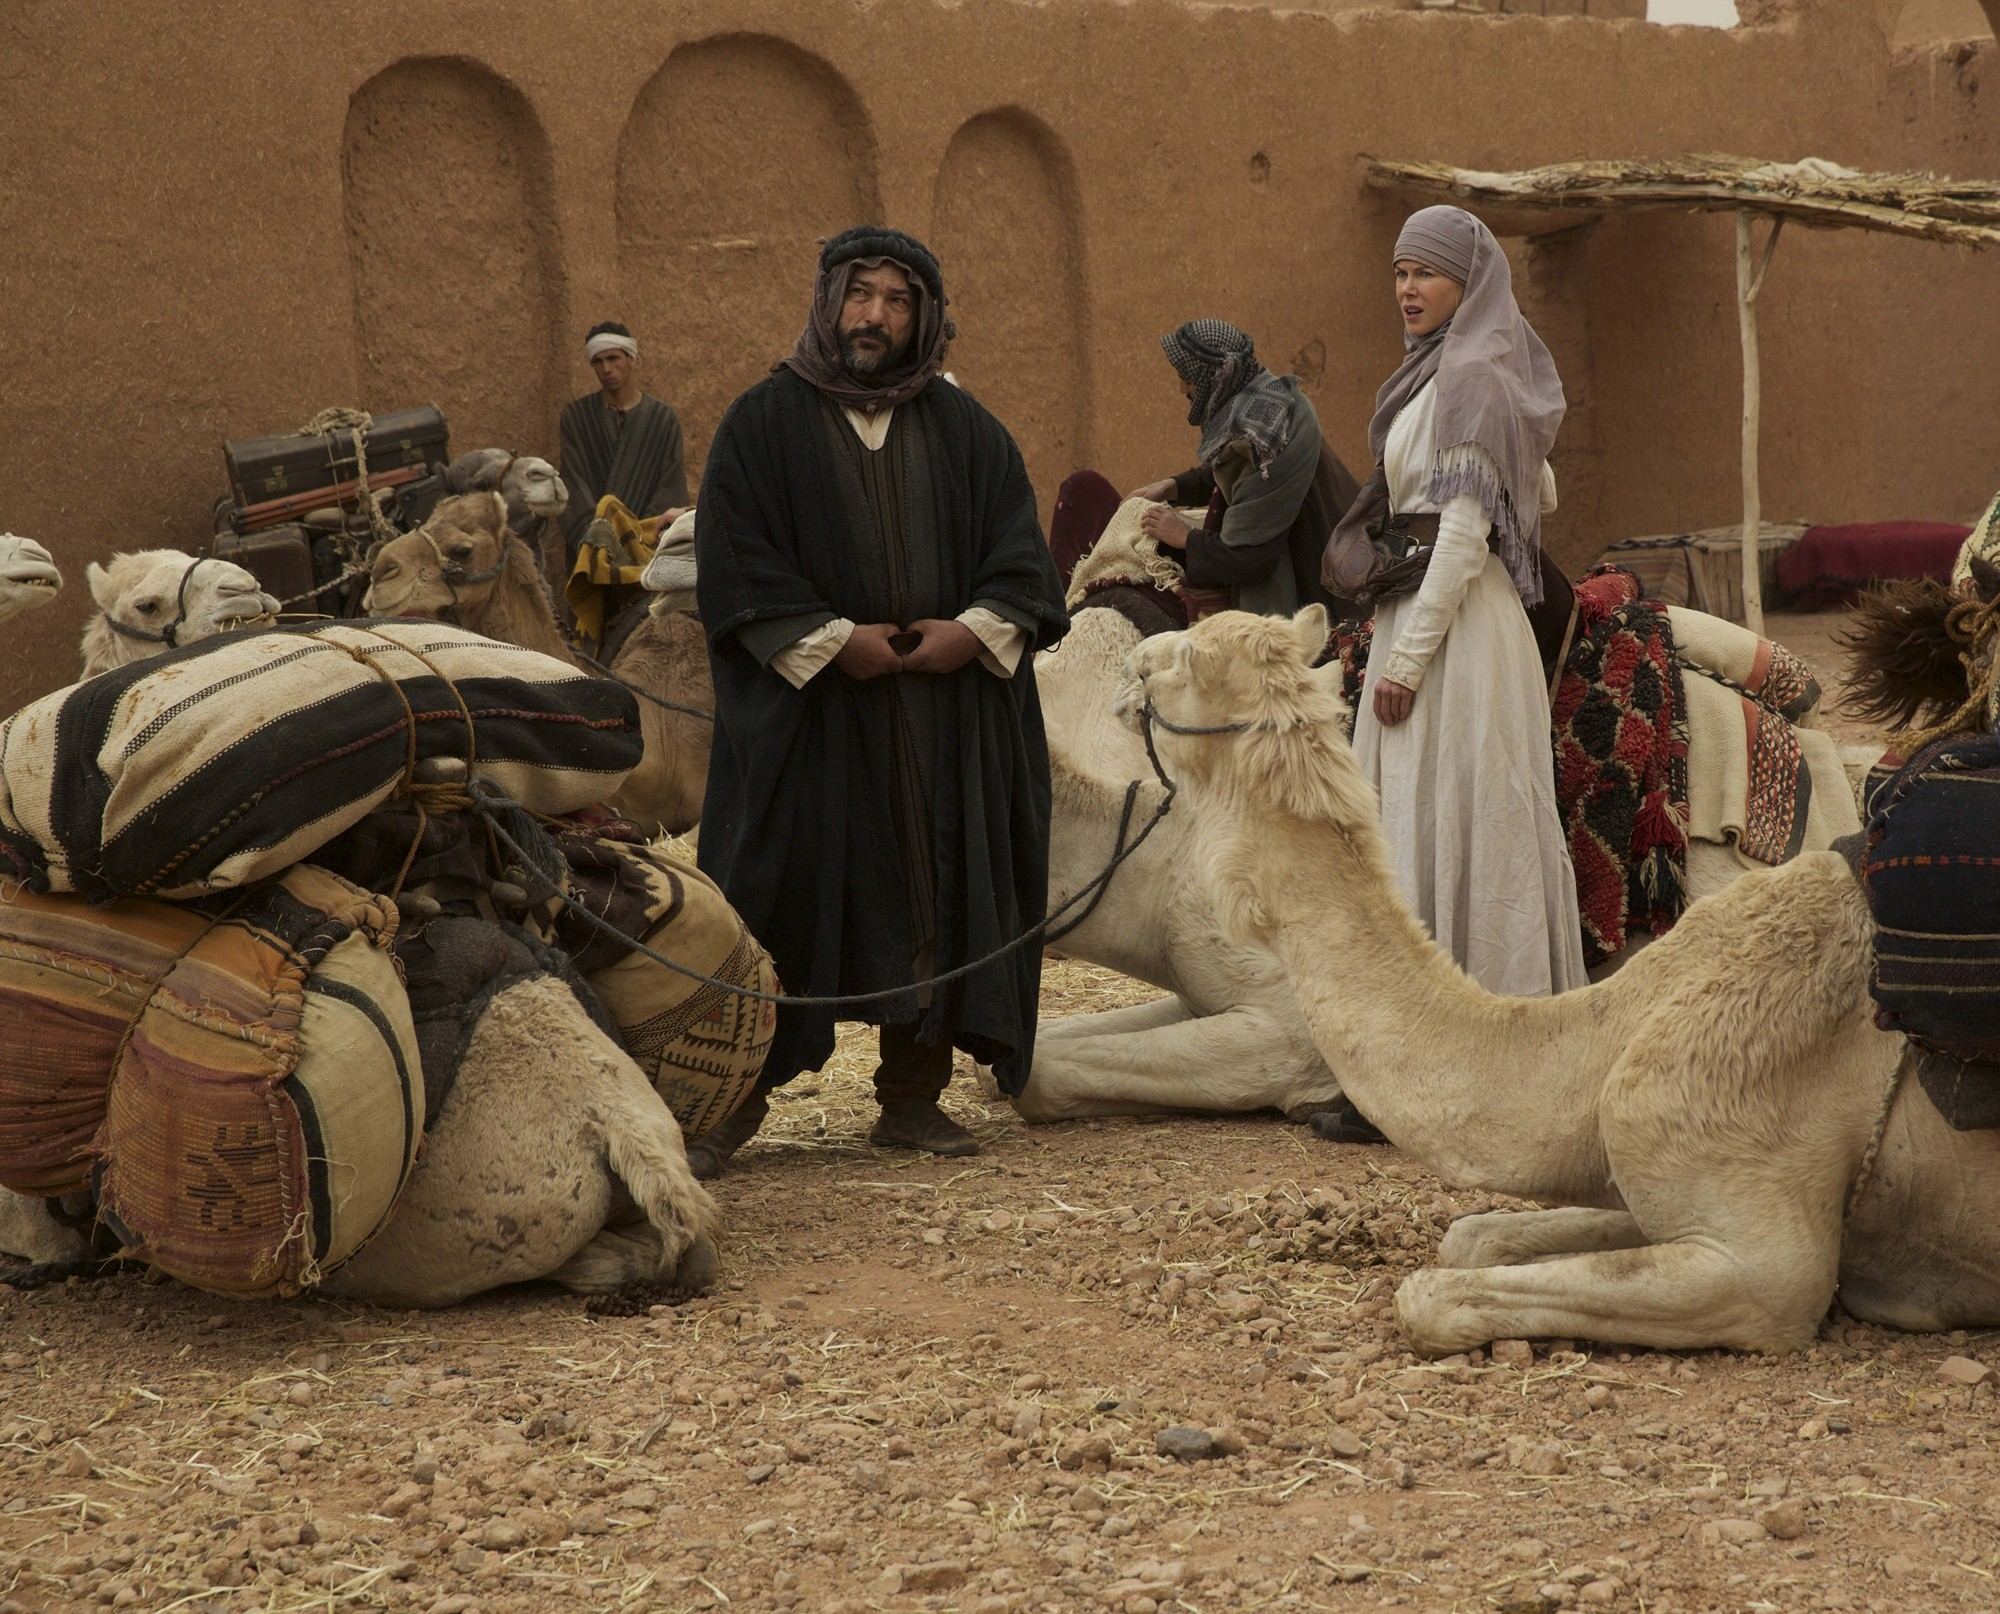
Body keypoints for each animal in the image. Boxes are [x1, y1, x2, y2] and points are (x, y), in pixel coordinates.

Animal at [1032, 504, 1856, 1120]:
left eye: (1178, 665)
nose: (1135, 675)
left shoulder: (1290, 1029)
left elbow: (1044, 1069)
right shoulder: (1200, 991)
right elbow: (1056, 1046)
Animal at [1128, 612, 2000, 1360]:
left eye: (1177, 659)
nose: (1130, 661)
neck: (1608, 1037)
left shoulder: (1764, 1261)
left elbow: (1430, 1295)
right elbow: (1473, 1235)